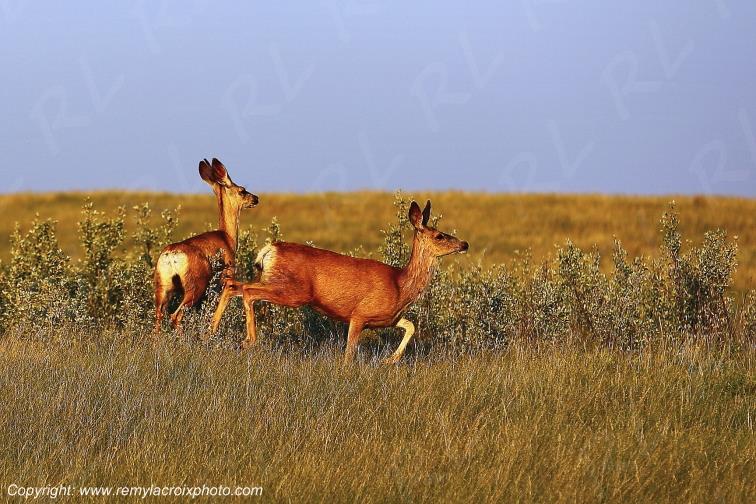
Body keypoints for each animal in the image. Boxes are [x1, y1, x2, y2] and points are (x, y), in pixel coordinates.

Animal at [154, 158, 258, 331]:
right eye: (242, 190)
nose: (256, 198)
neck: (226, 237)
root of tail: (171, 254)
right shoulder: (226, 280)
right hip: (196, 286)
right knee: (176, 315)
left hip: (163, 287)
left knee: (159, 316)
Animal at [209, 200, 468, 364]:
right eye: (440, 236)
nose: (464, 244)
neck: (400, 285)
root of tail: (269, 250)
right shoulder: (359, 314)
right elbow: (349, 355)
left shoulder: (387, 319)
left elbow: (411, 325)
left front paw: (389, 361)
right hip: (293, 291)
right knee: (248, 291)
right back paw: (248, 341)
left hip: (273, 282)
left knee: (233, 286)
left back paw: (210, 332)